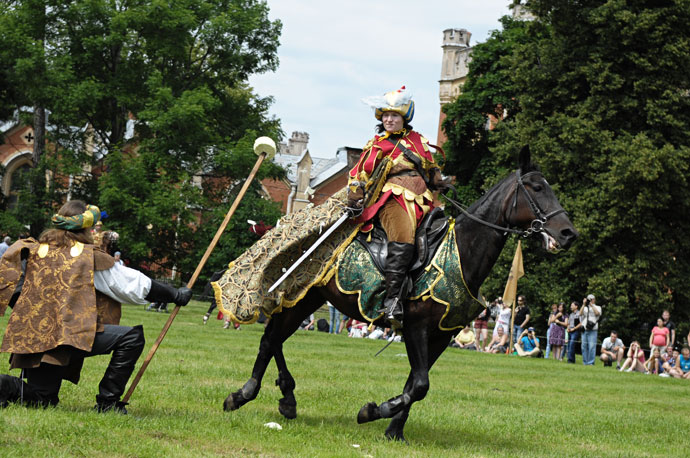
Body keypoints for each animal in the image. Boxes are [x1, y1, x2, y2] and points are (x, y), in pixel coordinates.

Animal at [223, 146, 576, 440]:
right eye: (537, 188)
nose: (568, 233)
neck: (460, 252)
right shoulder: (416, 328)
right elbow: (419, 384)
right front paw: (373, 412)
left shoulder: (442, 335)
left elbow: (415, 385)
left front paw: (393, 430)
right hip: (300, 294)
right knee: (270, 339)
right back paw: (245, 394)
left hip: (307, 297)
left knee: (275, 338)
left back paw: (283, 397)